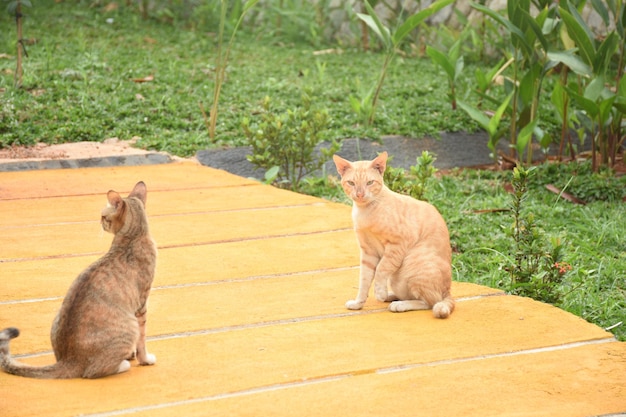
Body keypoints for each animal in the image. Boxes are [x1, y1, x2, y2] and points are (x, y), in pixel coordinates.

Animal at [0, 181, 156, 376]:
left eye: (103, 216)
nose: (100, 222)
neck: (133, 237)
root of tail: (67, 360)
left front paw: (134, 355)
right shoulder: (142, 305)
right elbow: (142, 340)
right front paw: (144, 359)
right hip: (130, 324)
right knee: (94, 372)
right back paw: (123, 364)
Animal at [332, 151, 454, 316]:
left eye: (369, 183)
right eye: (351, 183)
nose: (360, 194)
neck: (365, 212)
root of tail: (448, 291)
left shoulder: (398, 243)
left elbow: (381, 269)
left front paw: (379, 291)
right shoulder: (368, 252)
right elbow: (364, 280)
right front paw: (359, 303)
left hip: (414, 267)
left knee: (430, 302)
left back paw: (399, 304)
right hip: (397, 279)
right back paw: (391, 296)